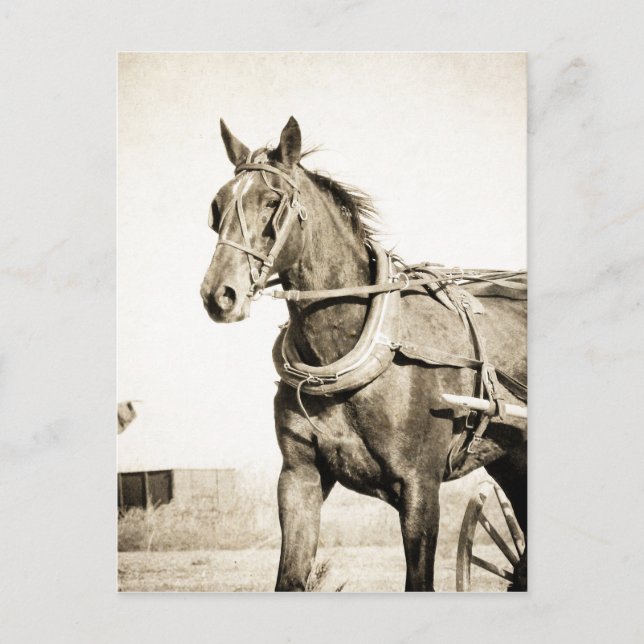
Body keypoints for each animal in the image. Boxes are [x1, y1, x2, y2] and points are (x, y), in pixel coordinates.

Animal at [200, 117, 527, 591]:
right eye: (217, 206)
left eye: (271, 202)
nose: (218, 294)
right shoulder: (299, 477)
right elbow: (290, 577)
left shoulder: (420, 488)